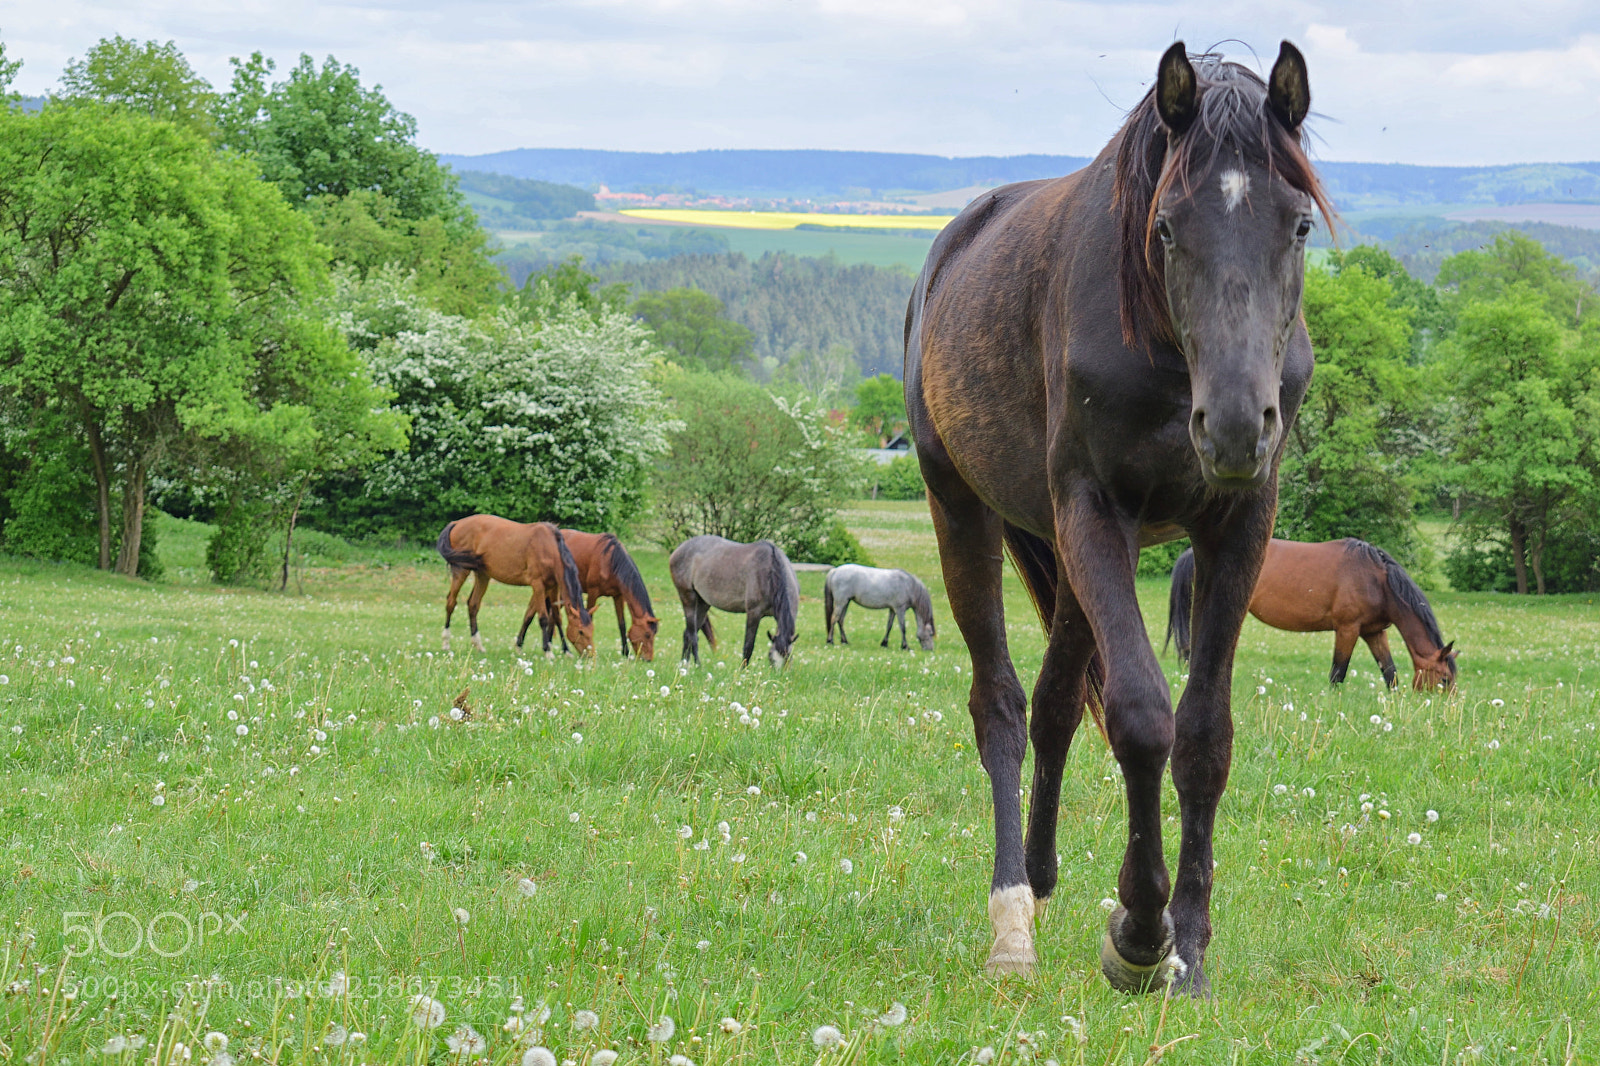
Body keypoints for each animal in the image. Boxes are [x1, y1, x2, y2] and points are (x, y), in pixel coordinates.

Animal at [436, 515, 595, 656]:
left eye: (592, 630)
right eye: (580, 631)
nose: (590, 655)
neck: (549, 547)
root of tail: (456, 523)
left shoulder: (553, 587)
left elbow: (556, 618)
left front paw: (566, 651)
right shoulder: (538, 585)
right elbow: (543, 618)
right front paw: (548, 652)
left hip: (483, 574)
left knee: (473, 605)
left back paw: (478, 645)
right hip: (461, 570)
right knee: (451, 602)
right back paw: (445, 643)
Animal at [539, 530, 659, 660]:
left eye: (654, 634)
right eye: (647, 634)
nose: (648, 659)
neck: (611, 561)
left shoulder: (618, 596)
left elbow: (622, 623)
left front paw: (626, 652)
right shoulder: (593, 593)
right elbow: (589, 619)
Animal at [669, 535, 799, 667]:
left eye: (789, 659)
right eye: (771, 658)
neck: (771, 571)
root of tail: (680, 547)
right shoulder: (754, 614)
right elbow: (748, 647)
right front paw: (742, 671)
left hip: (703, 603)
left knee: (688, 634)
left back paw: (684, 666)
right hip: (688, 597)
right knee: (692, 635)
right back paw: (697, 666)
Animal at [904, 42, 1331, 995]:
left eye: (1298, 226)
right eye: (1166, 227)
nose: (1237, 424)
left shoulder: (1238, 525)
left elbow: (1204, 735)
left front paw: (1191, 950)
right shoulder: (1097, 511)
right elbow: (1141, 714)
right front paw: (1139, 934)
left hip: (1064, 553)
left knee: (1057, 705)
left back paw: (1042, 877)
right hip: (965, 511)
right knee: (1001, 705)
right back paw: (1011, 920)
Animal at [1167, 539, 1458, 691]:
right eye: (1444, 679)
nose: (1447, 712)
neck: (1376, 580)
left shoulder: (1374, 632)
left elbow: (1390, 673)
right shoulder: (1347, 629)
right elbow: (1338, 673)